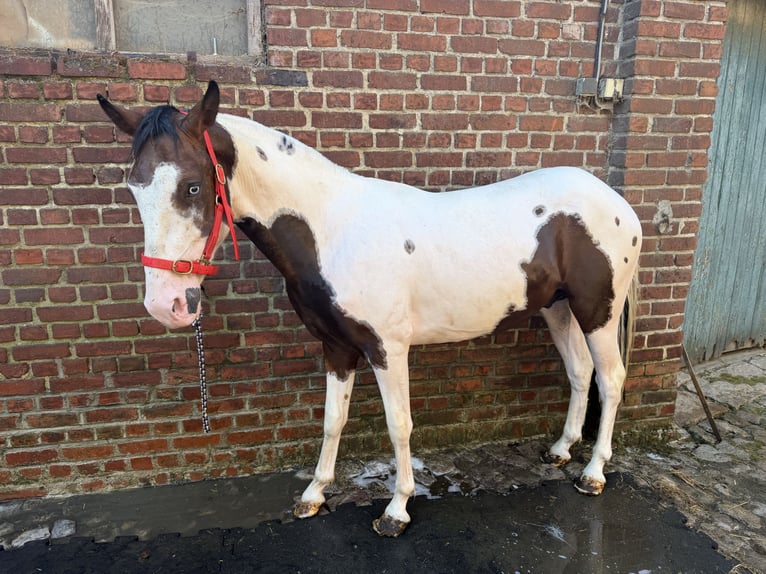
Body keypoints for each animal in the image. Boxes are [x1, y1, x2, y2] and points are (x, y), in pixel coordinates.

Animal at [98, 80, 642, 537]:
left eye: (193, 186)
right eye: (135, 187)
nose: (165, 304)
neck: (332, 232)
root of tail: (617, 202)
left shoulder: (387, 349)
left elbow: (398, 423)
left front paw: (396, 510)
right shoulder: (336, 348)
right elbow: (332, 420)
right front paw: (314, 495)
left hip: (598, 311)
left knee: (610, 379)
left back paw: (593, 473)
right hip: (558, 310)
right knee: (579, 372)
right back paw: (560, 451)